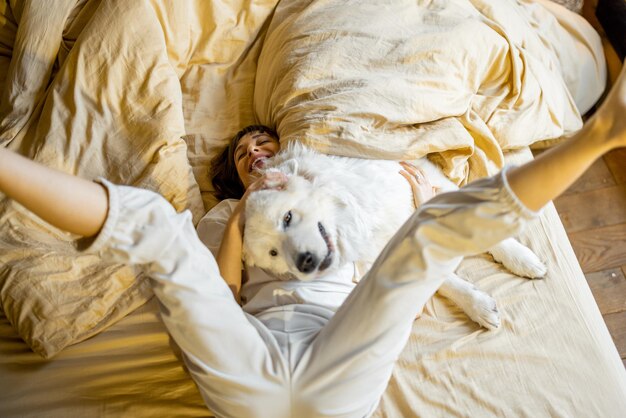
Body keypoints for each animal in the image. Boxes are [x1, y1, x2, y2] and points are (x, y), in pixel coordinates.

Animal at [241, 145, 544, 330]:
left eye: (287, 218)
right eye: (273, 253)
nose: (304, 262)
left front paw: (521, 258)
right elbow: (445, 282)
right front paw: (478, 306)